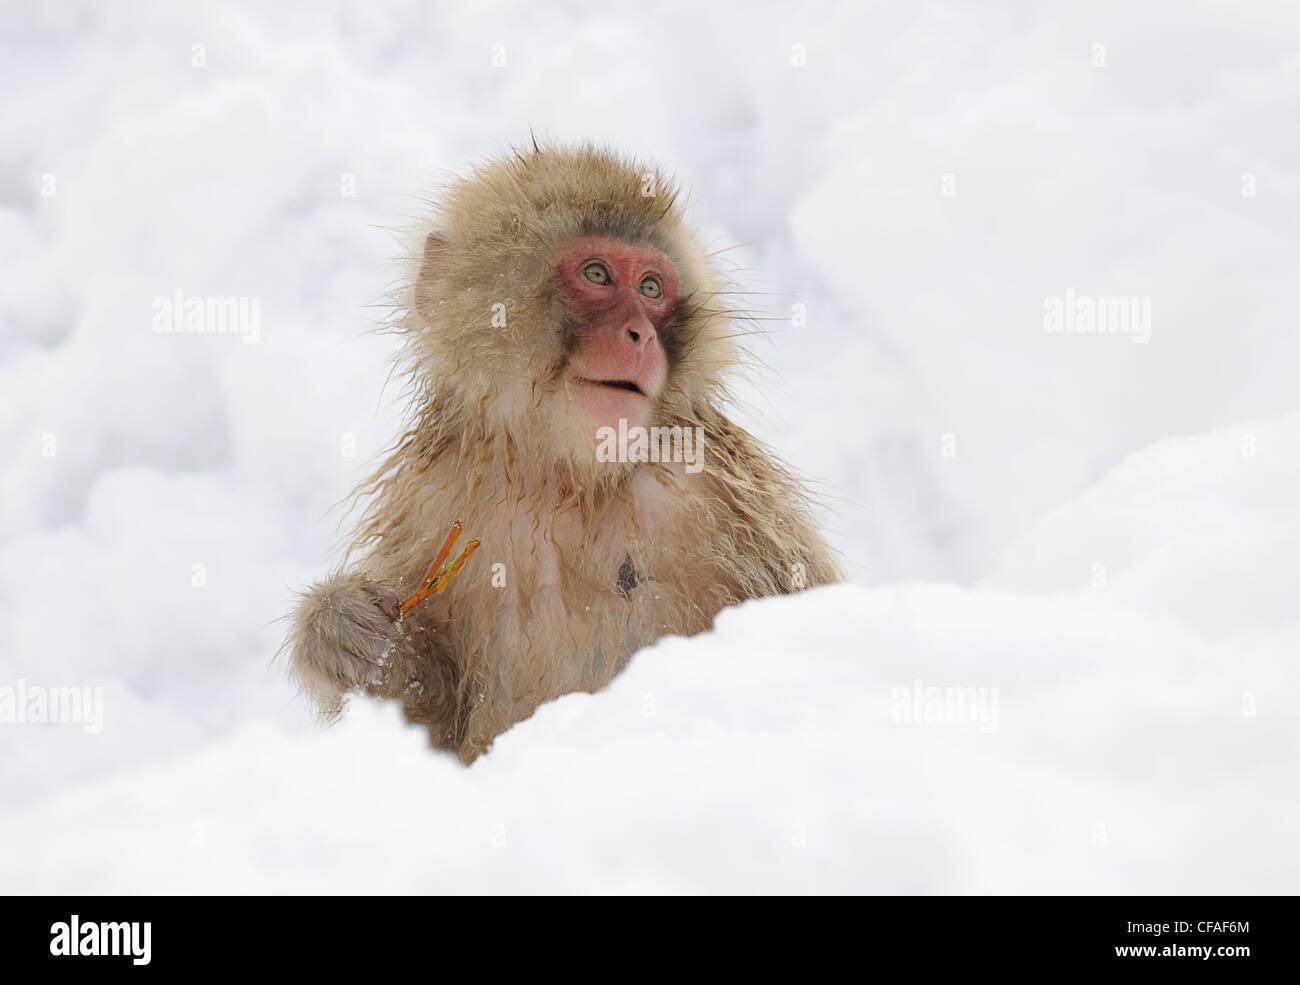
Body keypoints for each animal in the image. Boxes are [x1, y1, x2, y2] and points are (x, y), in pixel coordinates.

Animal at [284, 144, 842, 764]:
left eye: (651, 288)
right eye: (596, 274)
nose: (641, 336)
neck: (565, 478)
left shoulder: (717, 497)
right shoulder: (430, 502)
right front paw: (338, 633)